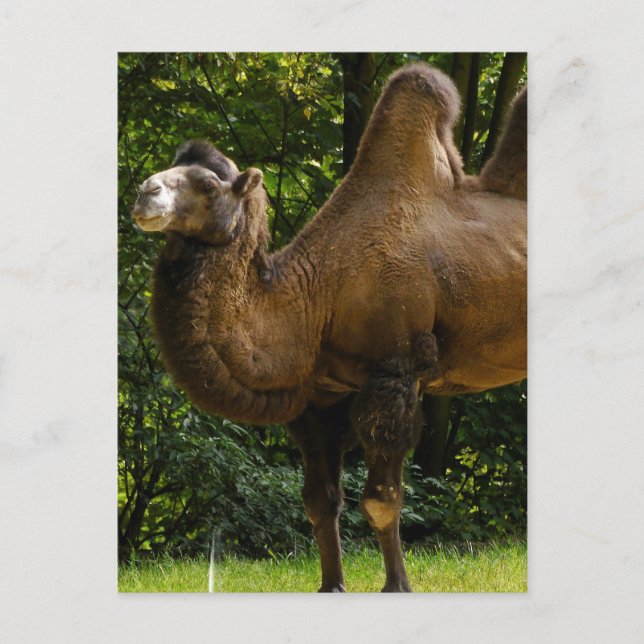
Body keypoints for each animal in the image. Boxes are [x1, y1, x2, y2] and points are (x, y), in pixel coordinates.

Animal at [131, 63, 527, 592]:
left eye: (209, 187)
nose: (145, 192)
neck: (317, 296)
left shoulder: (395, 371)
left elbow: (380, 500)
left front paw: (397, 587)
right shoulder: (320, 399)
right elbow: (320, 503)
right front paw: (332, 586)